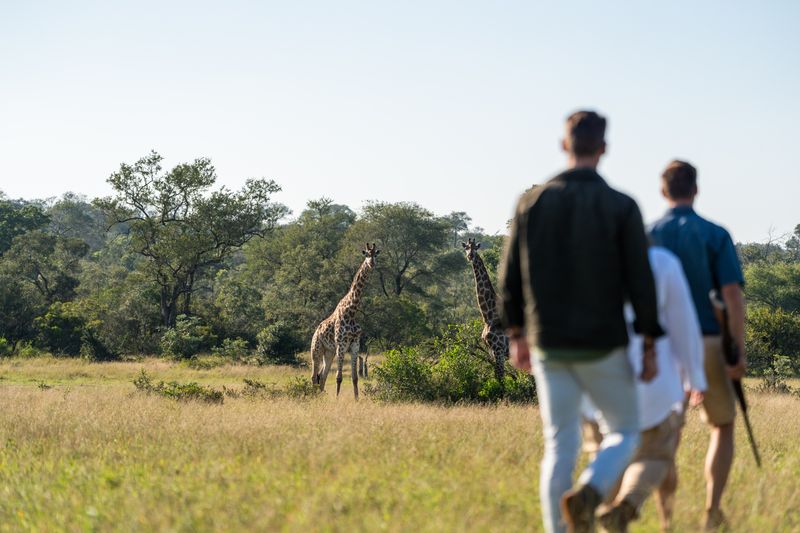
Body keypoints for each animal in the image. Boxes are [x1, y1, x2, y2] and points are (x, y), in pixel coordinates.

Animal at [310, 243, 379, 399]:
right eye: (366, 254)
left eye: (375, 255)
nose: (371, 264)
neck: (351, 312)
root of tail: (315, 332)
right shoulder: (341, 344)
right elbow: (339, 377)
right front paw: (337, 399)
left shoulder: (355, 344)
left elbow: (355, 377)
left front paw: (357, 399)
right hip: (316, 350)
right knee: (314, 376)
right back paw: (314, 396)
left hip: (329, 352)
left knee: (322, 375)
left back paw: (321, 397)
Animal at [462, 238, 508, 385]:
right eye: (466, 248)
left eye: (475, 248)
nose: (470, 256)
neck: (488, 315)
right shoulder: (492, 351)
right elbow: (497, 377)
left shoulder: (499, 350)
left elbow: (500, 377)